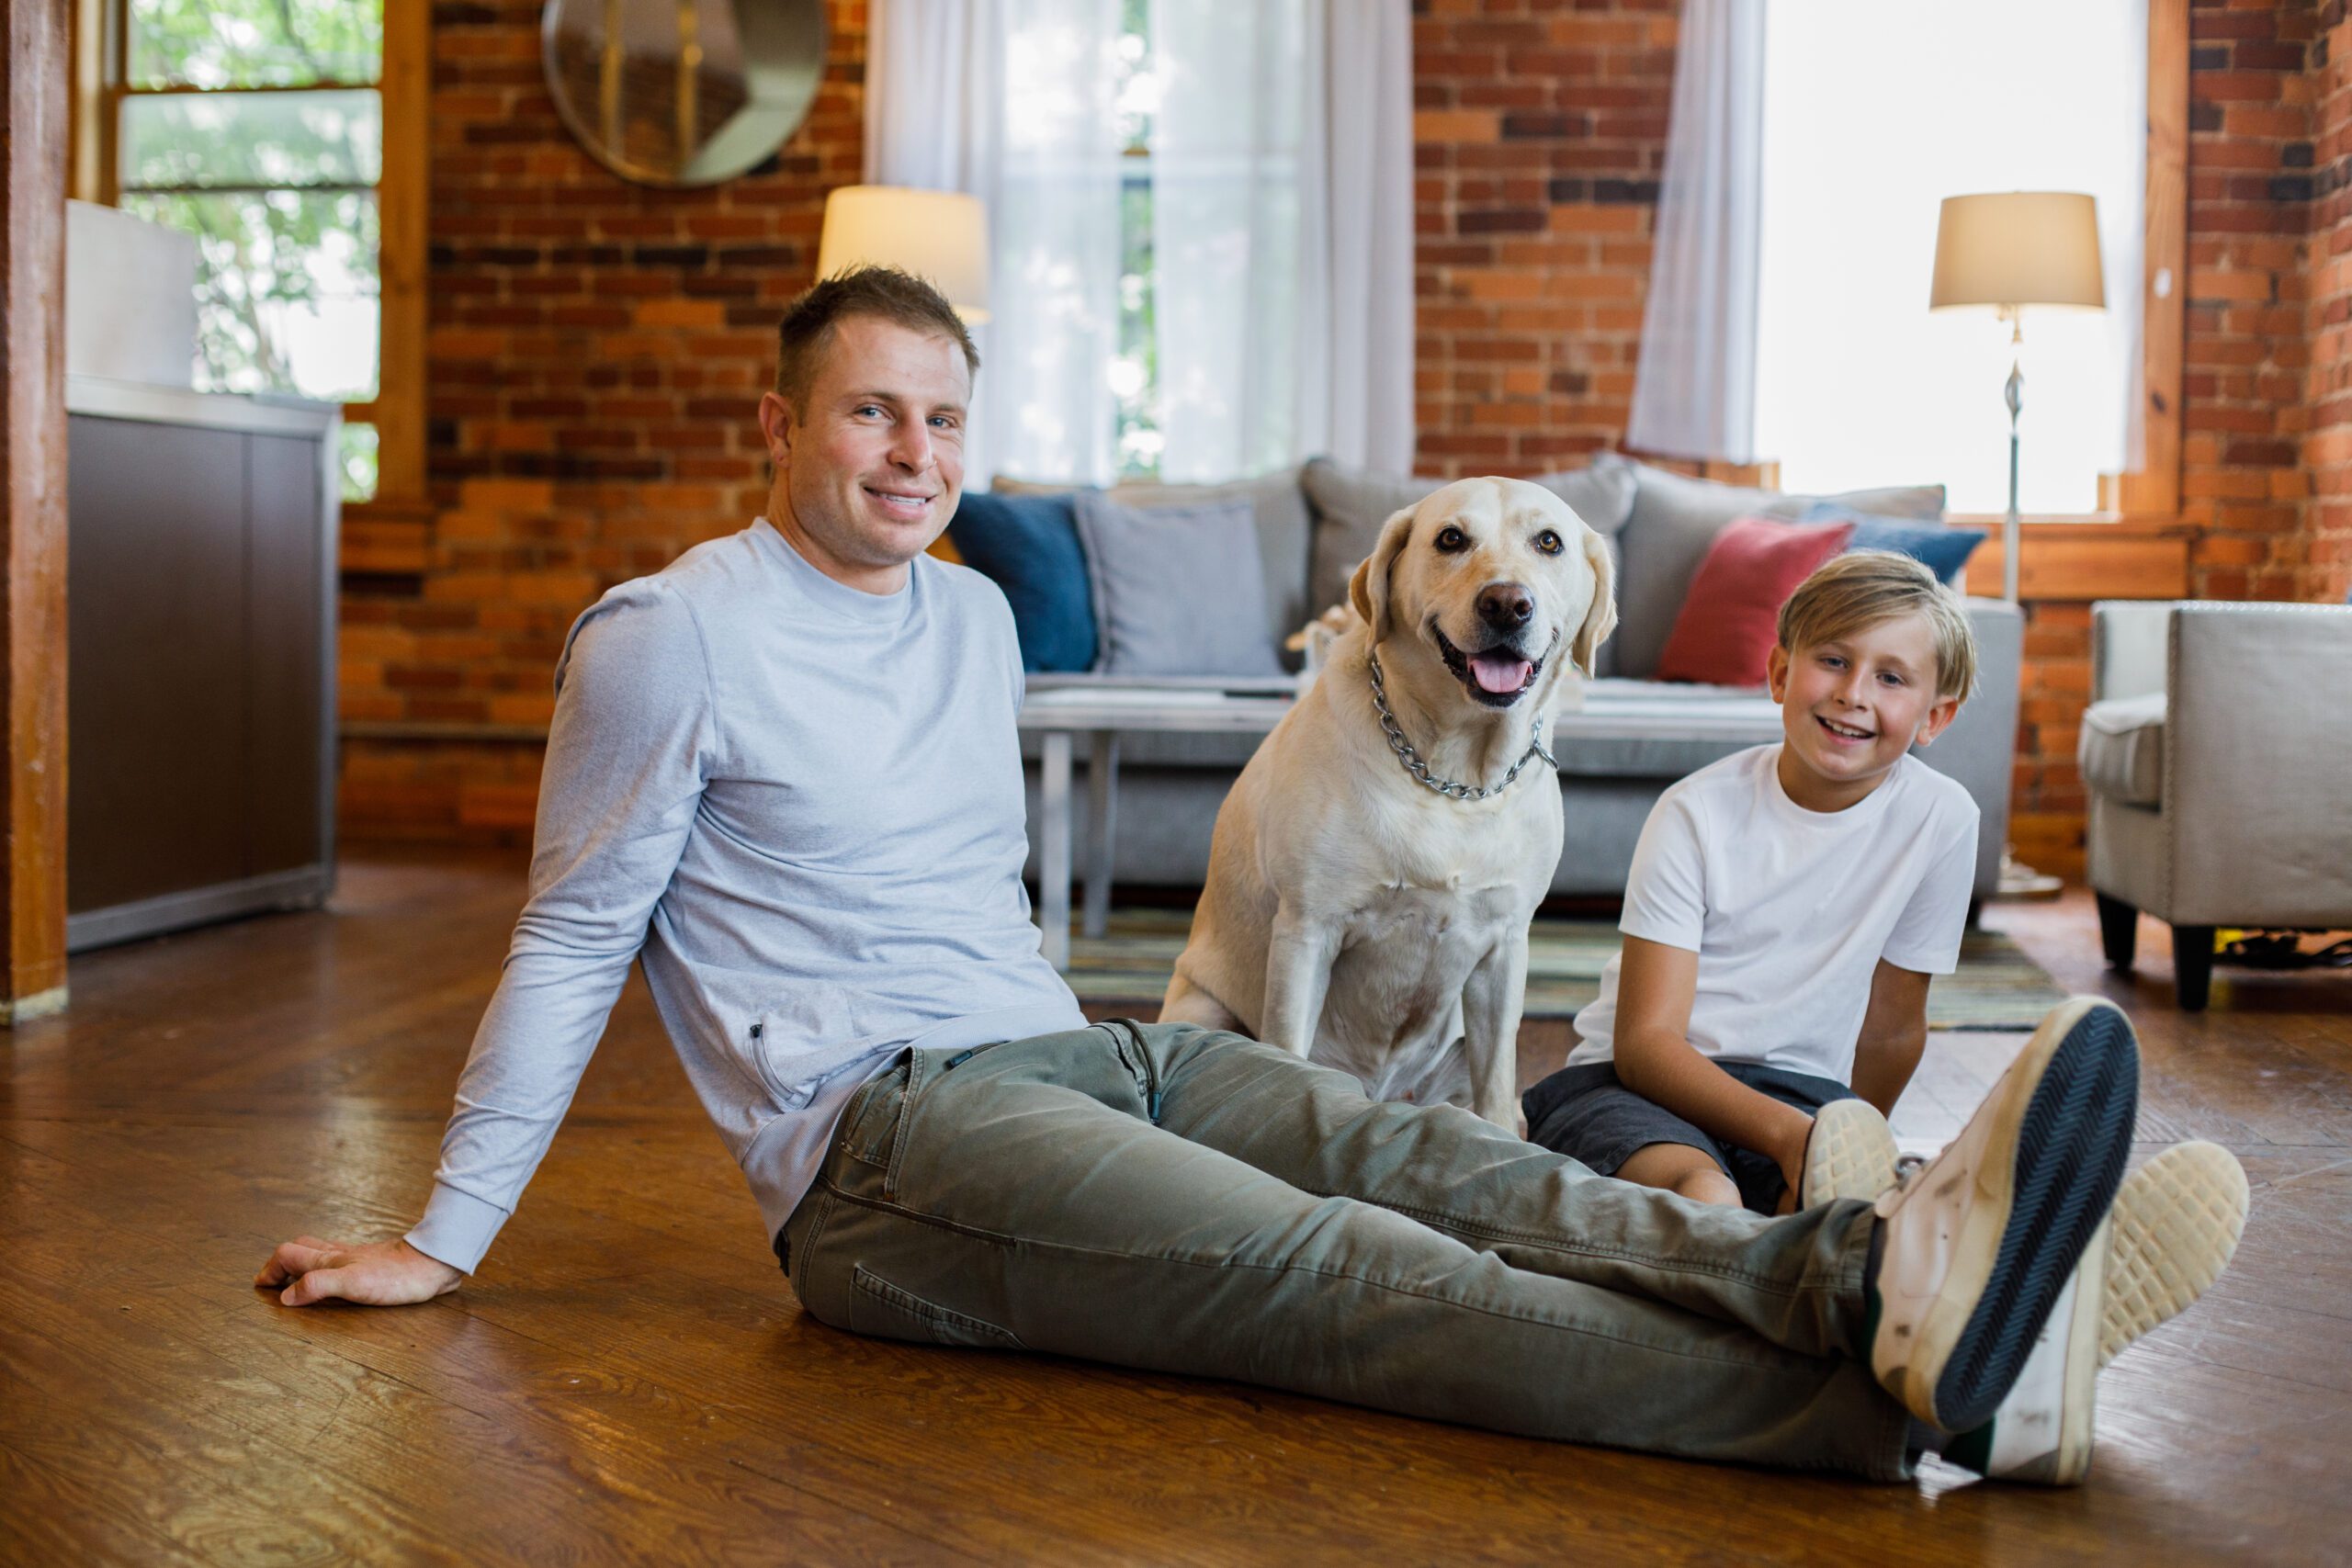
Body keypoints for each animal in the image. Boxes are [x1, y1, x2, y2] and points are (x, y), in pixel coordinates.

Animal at [1161, 479, 1618, 1128]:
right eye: (1450, 539)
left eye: (1548, 542)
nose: (1506, 603)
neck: (1454, 778)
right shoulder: (1307, 931)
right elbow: (1286, 1050)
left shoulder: (1505, 948)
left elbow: (1497, 1084)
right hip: (1202, 1010)